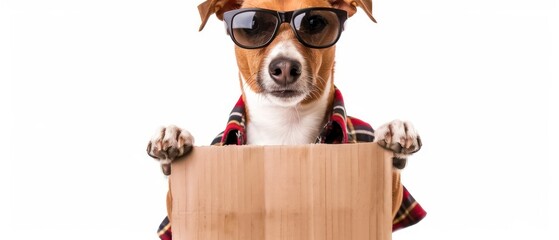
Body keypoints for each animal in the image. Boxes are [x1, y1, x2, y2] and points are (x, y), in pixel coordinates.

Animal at [147, 0, 426, 238]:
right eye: (253, 25)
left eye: (314, 22)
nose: (284, 67)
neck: (286, 125)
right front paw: (172, 136)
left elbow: (393, 185)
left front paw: (396, 131)